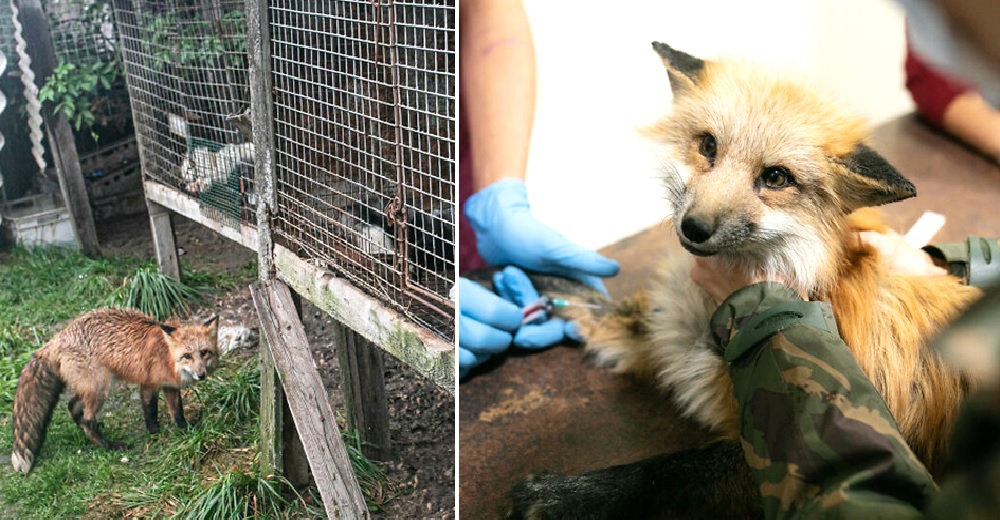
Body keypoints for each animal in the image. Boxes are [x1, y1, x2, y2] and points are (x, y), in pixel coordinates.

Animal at [10, 308, 218, 476]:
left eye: (204, 352)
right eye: (187, 356)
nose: (201, 375)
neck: (166, 355)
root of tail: (58, 337)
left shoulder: (170, 387)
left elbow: (177, 412)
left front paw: (187, 430)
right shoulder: (148, 385)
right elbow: (151, 414)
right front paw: (155, 436)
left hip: (91, 388)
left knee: (72, 406)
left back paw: (84, 430)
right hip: (100, 388)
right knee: (88, 420)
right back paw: (108, 446)